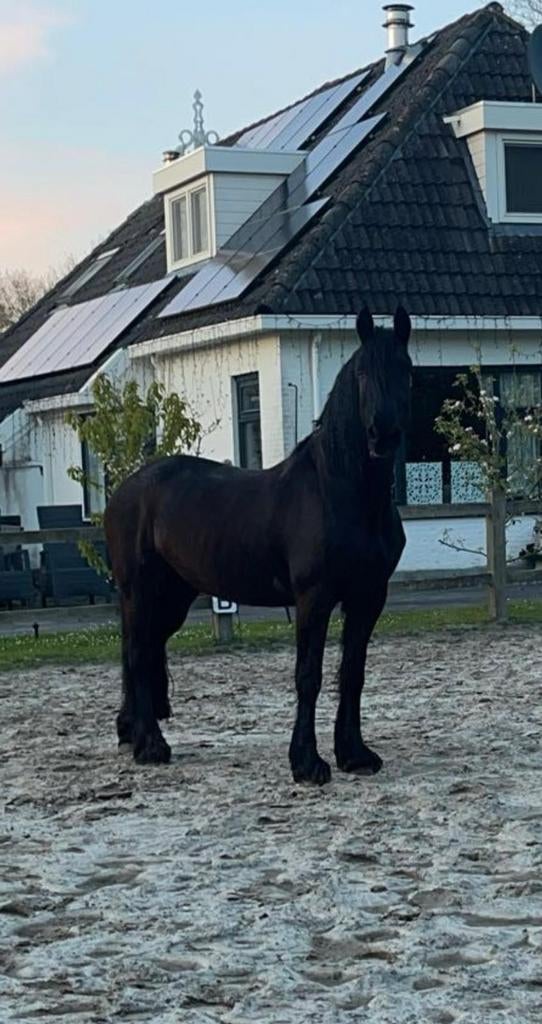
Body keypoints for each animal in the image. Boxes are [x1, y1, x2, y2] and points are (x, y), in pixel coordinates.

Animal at [104, 306, 412, 785]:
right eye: (362, 373)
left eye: (406, 370)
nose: (383, 434)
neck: (342, 492)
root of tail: (127, 489)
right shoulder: (314, 598)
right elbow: (309, 675)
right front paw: (307, 763)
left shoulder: (367, 598)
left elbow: (352, 673)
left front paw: (355, 754)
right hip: (140, 591)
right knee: (138, 654)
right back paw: (151, 746)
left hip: (173, 596)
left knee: (147, 649)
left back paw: (132, 732)